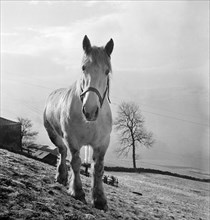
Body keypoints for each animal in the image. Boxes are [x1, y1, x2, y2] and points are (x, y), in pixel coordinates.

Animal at [43, 35, 114, 211]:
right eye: (83, 68)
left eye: (107, 71)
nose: (90, 110)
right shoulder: (72, 139)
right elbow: (75, 163)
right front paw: (77, 190)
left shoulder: (102, 143)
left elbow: (98, 168)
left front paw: (99, 199)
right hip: (54, 134)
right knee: (62, 151)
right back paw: (61, 175)